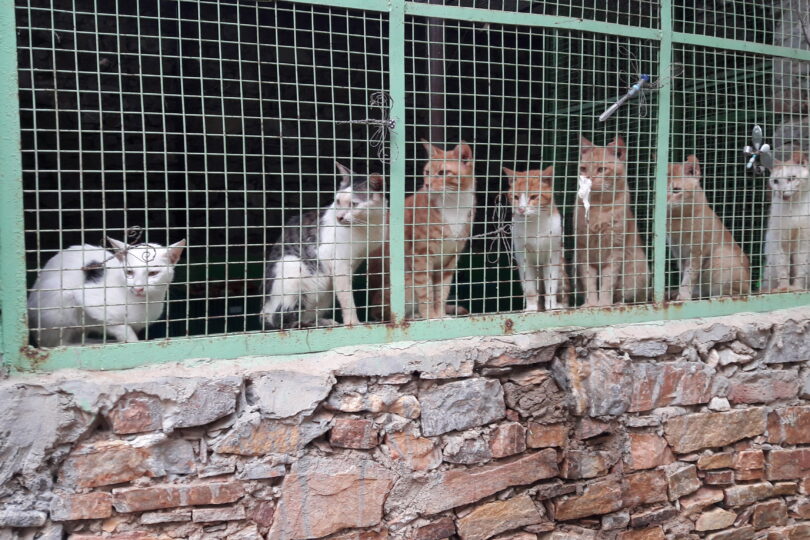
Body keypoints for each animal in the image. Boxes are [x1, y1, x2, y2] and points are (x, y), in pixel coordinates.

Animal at [27, 236, 185, 346]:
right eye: (129, 272)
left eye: (153, 273)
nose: (138, 287)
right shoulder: (87, 299)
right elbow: (121, 327)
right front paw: (132, 342)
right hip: (60, 306)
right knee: (57, 344)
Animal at [258, 161, 386, 330]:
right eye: (337, 201)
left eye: (353, 204)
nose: (339, 217)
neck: (367, 225)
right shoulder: (338, 263)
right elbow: (347, 298)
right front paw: (353, 323)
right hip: (292, 266)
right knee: (280, 320)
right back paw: (300, 323)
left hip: (325, 290)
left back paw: (322, 322)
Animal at [504, 165, 568, 310]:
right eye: (515, 196)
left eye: (533, 196)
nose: (521, 209)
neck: (534, 224)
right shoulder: (523, 256)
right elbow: (529, 287)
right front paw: (532, 308)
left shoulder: (553, 254)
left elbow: (551, 283)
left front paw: (551, 306)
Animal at [576, 134, 652, 306]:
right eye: (583, 169)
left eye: (601, 169)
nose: (588, 178)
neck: (599, 206)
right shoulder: (583, 249)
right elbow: (589, 281)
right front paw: (591, 304)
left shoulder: (615, 249)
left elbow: (607, 282)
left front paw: (603, 303)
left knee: (632, 297)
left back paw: (619, 303)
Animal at [664, 154, 748, 300]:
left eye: (676, 190)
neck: (677, 218)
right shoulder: (678, 252)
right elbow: (685, 275)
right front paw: (682, 293)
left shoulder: (696, 252)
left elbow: (689, 276)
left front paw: (683, 296)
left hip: (721, 255)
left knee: (738, 293)